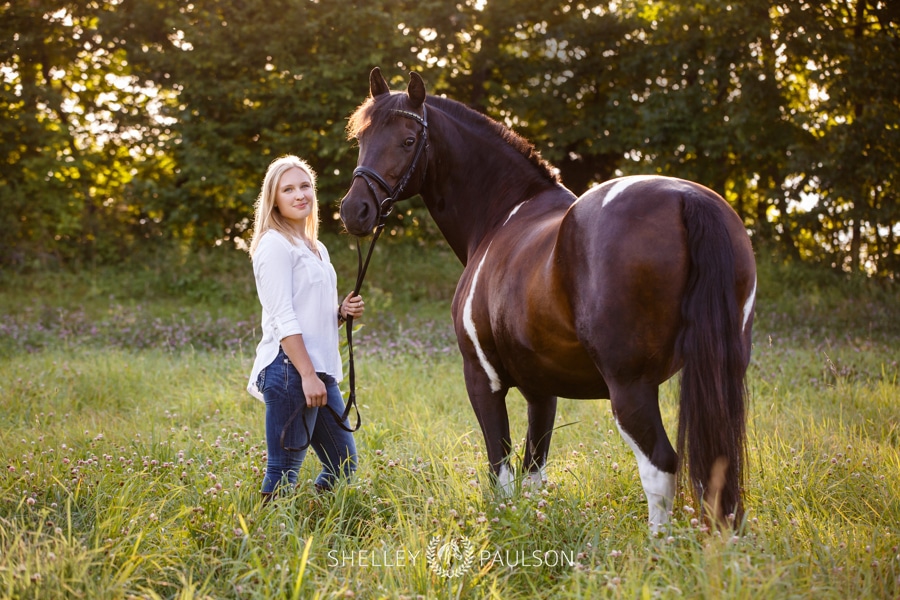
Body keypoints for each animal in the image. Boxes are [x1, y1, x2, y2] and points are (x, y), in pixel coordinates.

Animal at [342, 68, 756, 532]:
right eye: (362, 137)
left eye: (409, 140)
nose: (354, 210)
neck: (503, 215)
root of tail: (688, 199)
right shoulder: (542, 391)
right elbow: (533, 472)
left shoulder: (482, 378)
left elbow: (502, 472)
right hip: (720, 373)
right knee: (719, 469)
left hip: (630, 387)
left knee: (660, 467)